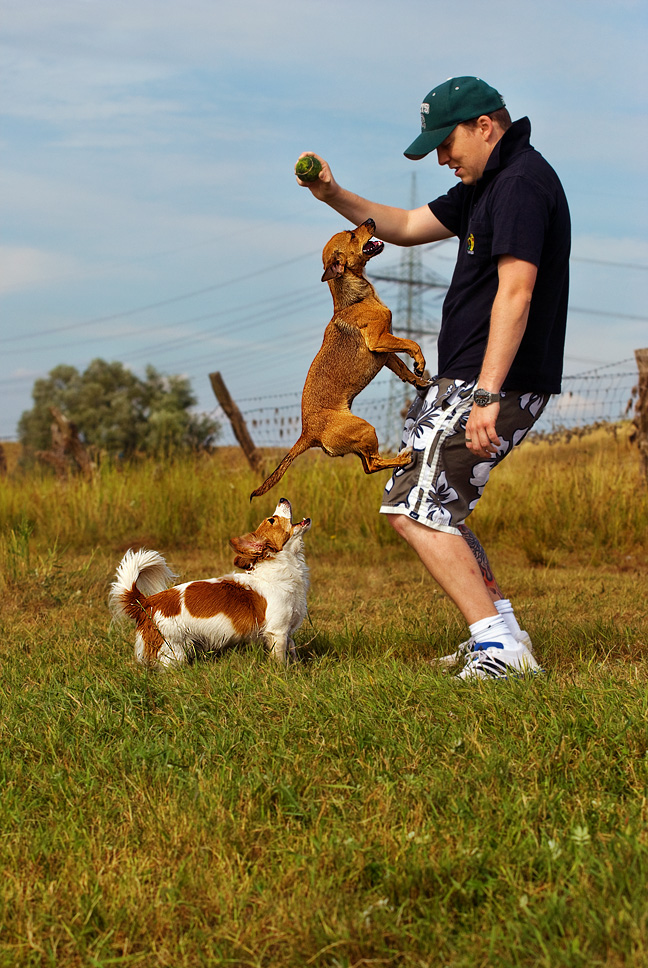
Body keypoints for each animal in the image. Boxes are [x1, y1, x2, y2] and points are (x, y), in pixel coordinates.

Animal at [109, 496, 312, 668]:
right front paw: (283, 673)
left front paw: (297, 668)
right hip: (173, 651)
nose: (282, 498)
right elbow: (280, 658)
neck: (282, 568)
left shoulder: (287, 633)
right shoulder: (277, 631)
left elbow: (292, 647)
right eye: (272, 520)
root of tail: (147, 603)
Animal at [249, 218, 430, 500]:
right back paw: (403, 458)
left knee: (368, 466)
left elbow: (403, 369)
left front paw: (420, 380)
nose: (371, 219)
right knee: (373, 463)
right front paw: (420, 362)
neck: (355, 299)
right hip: (366, 429)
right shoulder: (379, 339)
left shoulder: (385, 354)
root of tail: (307, 433)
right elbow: (413, 343)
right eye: (353, 235)